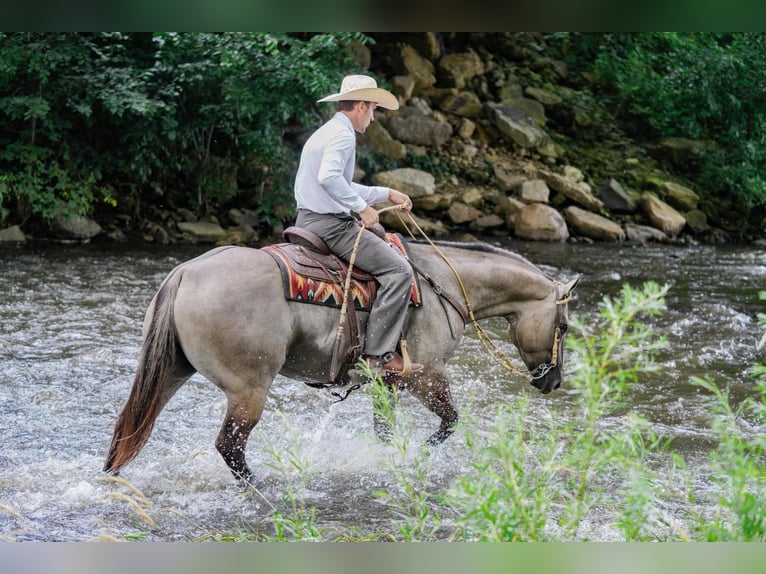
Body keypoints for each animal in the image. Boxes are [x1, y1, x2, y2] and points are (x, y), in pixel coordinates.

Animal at [104, 236, 579, 483]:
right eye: (565, 327)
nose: (552, 381)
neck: (445, 284)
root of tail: (184, 272)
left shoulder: (388, 383)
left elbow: (386, 432)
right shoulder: (426, 374)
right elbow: (450, 422)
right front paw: (417, 458)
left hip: (170, 371)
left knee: (129, 430)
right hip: (248, 388)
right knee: (230, 447)